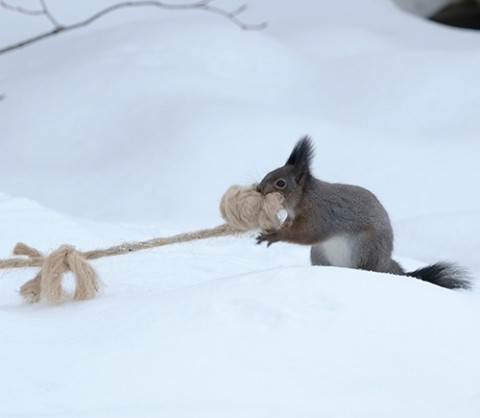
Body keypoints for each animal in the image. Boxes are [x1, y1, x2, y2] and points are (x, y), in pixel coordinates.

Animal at [256, 136, 470, 290]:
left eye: (280, 183)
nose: (258, 189)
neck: (303, 198)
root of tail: (385, 263)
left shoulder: (321, 214)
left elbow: (307, 233)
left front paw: (274, 236)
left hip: (365, 246)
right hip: (318, 253)